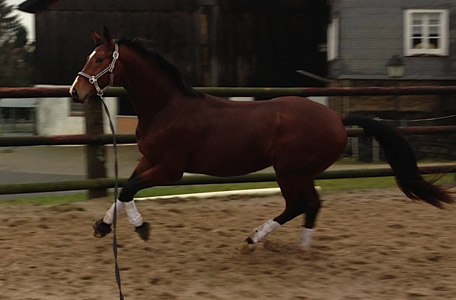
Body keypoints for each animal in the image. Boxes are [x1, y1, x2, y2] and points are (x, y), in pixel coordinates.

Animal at [70, 27, 452, 253]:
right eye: (90, 57)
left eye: (100, 58)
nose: (76, 92)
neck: (168, 108)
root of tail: (336, 117)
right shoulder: (149, 160)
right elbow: (124, 190)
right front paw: (102, 226)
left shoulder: (170, 169)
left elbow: (129, 189)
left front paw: (142, 228)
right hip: (302, 172)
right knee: (313, 205)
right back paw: (302, 248)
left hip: (289, 171)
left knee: (298, 205)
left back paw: (253, 239)